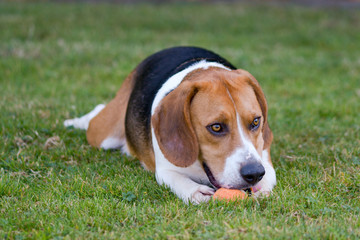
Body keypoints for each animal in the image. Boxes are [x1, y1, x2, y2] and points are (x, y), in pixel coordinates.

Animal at [64, 46, 276, 202]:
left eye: (256, 122)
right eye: (216, 127)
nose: (254, 173)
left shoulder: (264, 159)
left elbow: (268, 177)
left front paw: (261, 187)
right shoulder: (165, 170)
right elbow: (176, 179)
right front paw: (195, 191)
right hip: (104, 136)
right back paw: (74, 121)